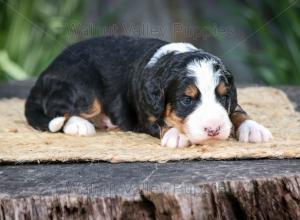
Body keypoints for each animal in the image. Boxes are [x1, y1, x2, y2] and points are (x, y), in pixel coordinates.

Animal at [25, 35, 272, 148]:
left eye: (223, 96)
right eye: (187, 100)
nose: (213, 129)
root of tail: (46, 71)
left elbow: (236, 110)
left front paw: (253, 128)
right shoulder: (146, 115)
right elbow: (162, 122)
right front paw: (177, 135)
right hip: (84, 85)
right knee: (59, 110)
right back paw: (80, 125)